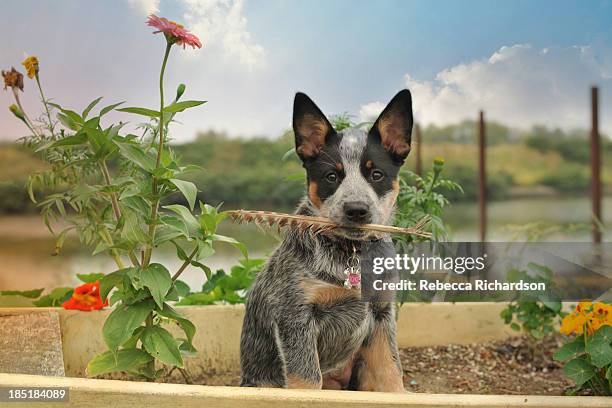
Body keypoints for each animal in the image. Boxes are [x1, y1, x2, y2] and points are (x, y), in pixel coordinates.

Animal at [237, 90, 414, 392]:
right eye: (332, 176)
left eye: (376, 174)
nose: (356, 210)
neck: (352, 255)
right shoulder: (295, 316)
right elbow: (307, 379)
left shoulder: (381, 314)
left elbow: (391, 370)